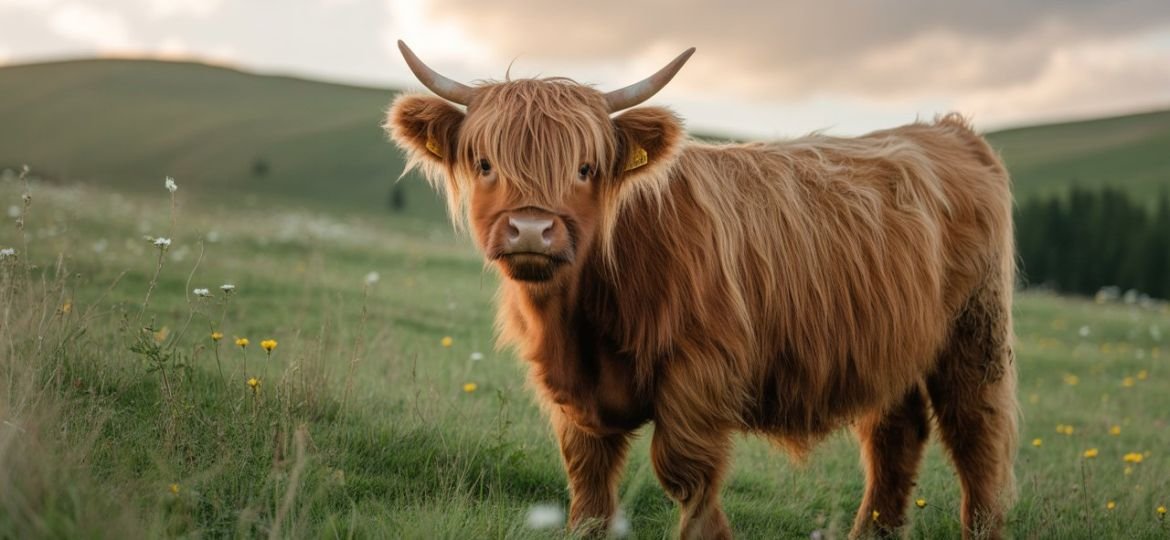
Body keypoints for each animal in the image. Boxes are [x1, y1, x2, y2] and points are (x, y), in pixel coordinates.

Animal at [385, 41, 1017, 539]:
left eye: (586, 168)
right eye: (484, 163)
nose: (532, 230)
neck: (583, 322)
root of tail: (944, 129)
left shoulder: (700, 375)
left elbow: (687, 477)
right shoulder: (575, 398)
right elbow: (588, 488)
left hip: (975, 333)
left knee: (977, 437)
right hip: (890, 344)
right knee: (894, 434)